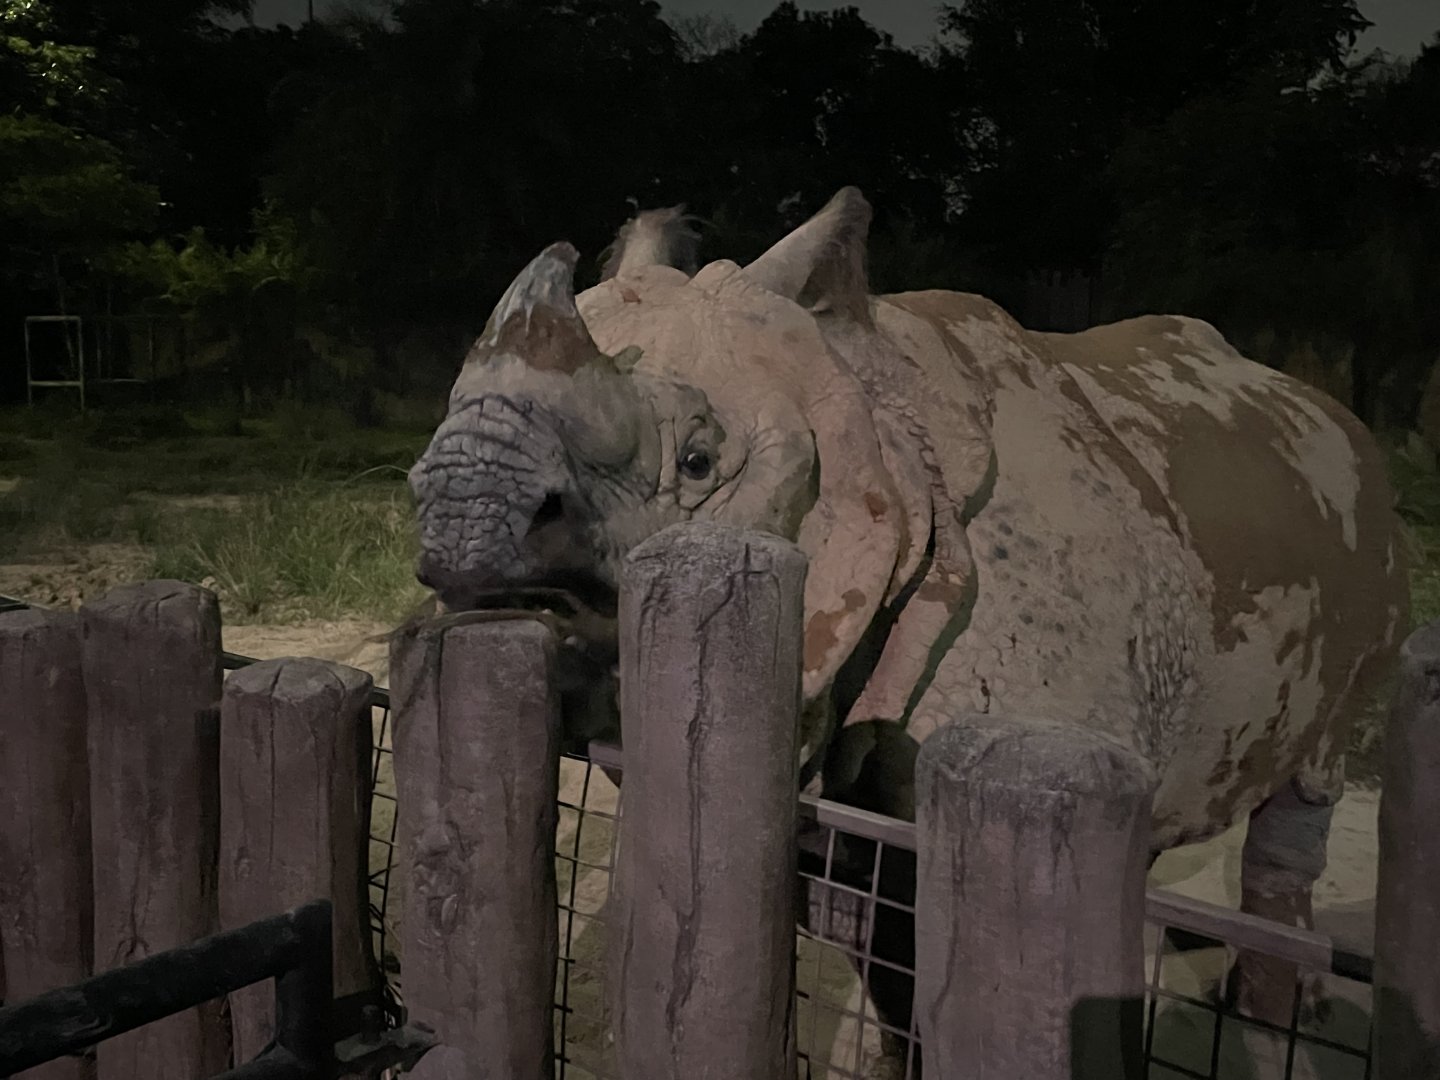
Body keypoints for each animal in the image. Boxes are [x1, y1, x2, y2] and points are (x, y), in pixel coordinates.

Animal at [408, 188, 1407, 1070]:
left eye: (697, 461)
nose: (455, 512)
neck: (875, 430)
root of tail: (1330, 409)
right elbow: (874, 932)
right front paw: (870, 1057)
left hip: (1374, 523)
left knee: (1310, 782)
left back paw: (1280, 1019)